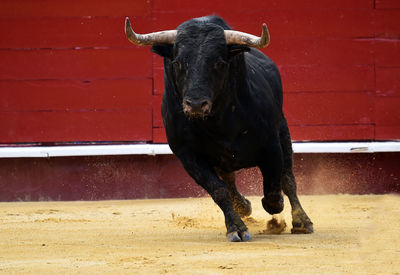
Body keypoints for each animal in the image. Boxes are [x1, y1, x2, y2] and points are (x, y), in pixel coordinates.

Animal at [125, 16, 312, 243]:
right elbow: (218, 190)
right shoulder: (188, 156)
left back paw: (302, 222)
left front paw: (275, 209)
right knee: (229, 180)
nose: (196, 104)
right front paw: (236, 227)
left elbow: (275, 186)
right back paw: (243, 206)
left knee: (288, 178)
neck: (218, 121)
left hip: (283, 131)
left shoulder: (271, 144)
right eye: (177, 62)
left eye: (219, 63)